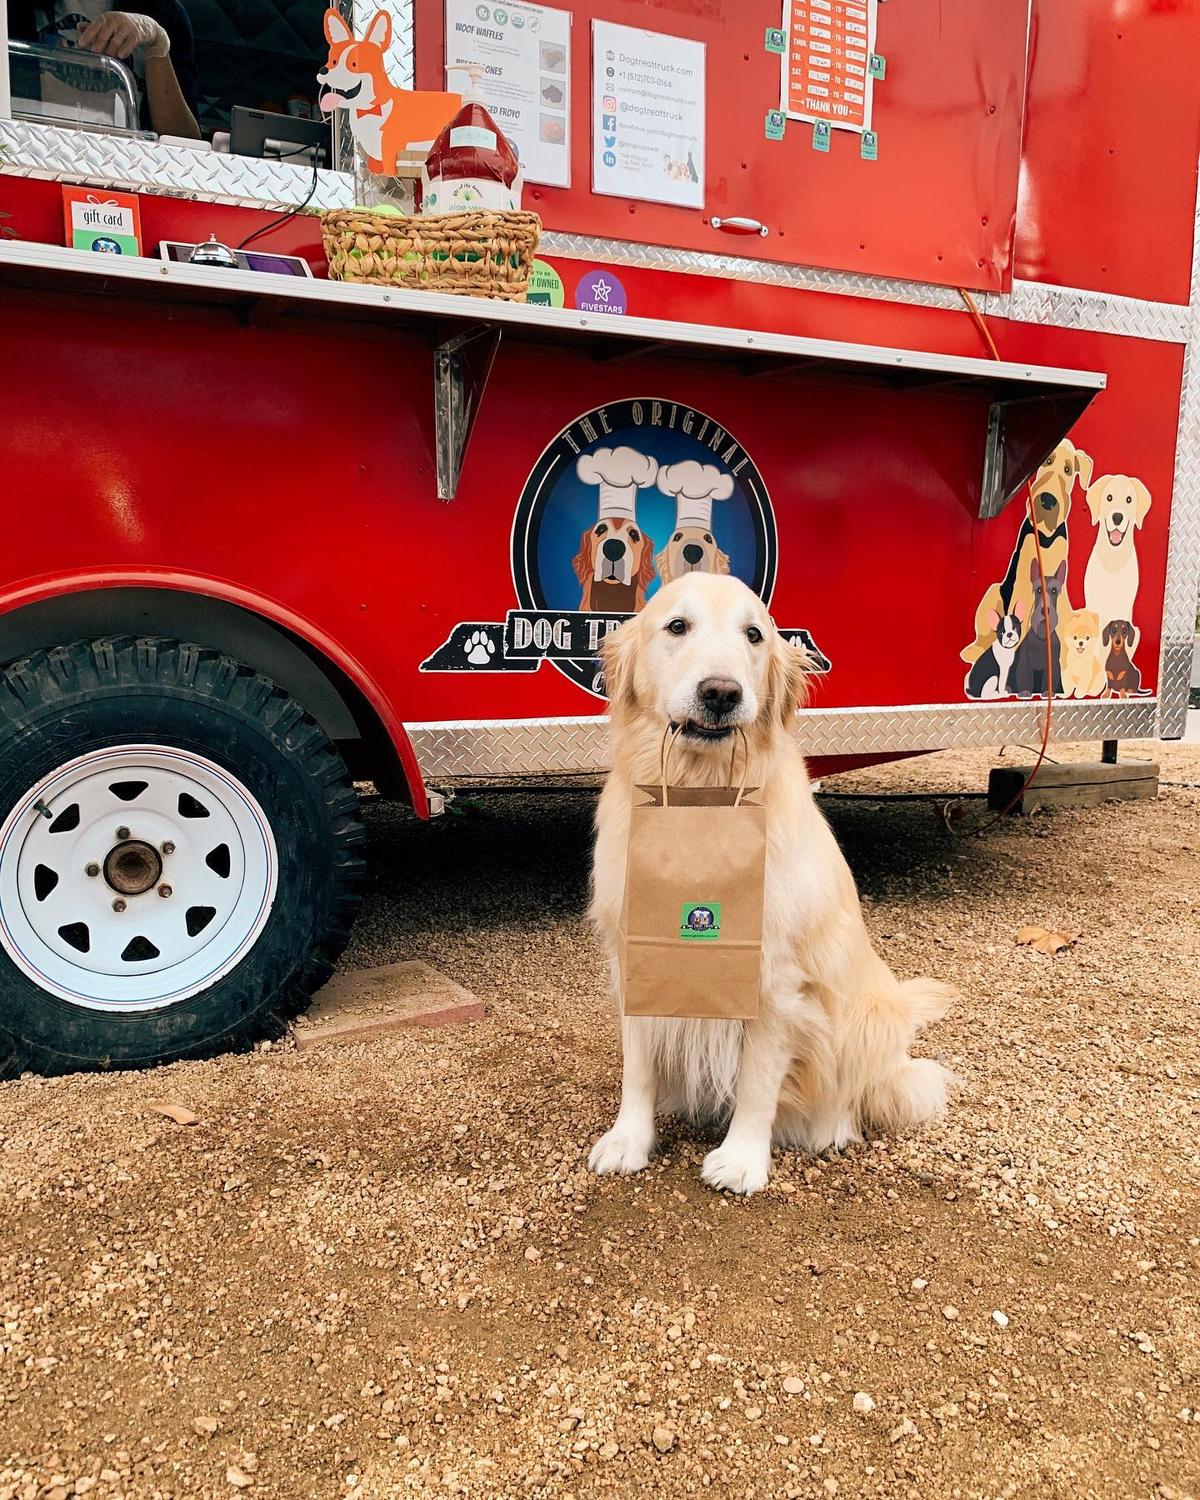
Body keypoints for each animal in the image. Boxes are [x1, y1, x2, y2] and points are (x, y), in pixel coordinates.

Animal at [591, 573, 954, 1194]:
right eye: (677, 626)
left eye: (754, 634)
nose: (721, 692)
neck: (704, 794)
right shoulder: (636, 959)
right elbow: (637, 1068)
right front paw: (628, 1140)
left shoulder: (775, 978)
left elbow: (757, 1081)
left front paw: (741, 1159)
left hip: (871, 1019)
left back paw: (830, 1127)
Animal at [960, 438, 1092, 666]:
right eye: (1047, 461)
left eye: (1068, 469)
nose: (1048, 500)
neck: (1045, 536)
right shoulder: (1023, 580)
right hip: (993, 591)